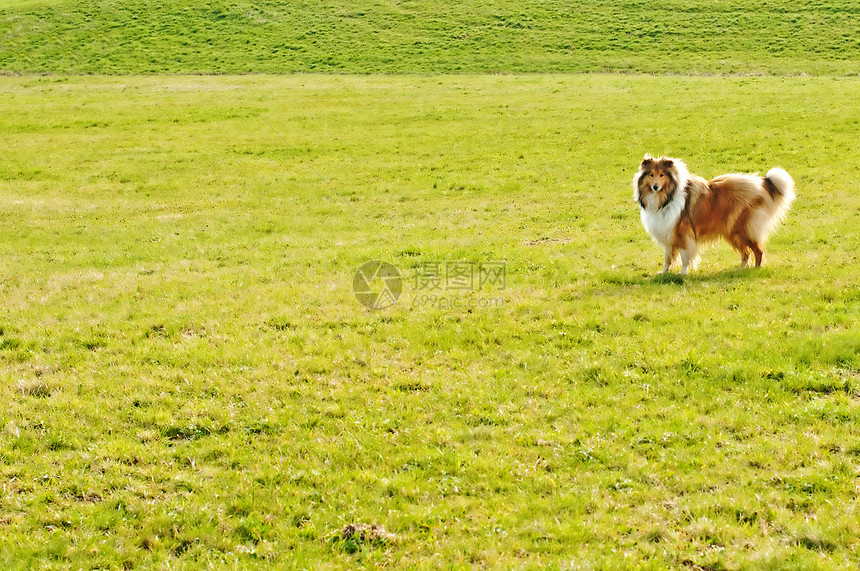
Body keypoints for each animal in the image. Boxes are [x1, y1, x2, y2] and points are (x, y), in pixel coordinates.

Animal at [632, 154, 792, 274]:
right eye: (651, 175)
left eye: (662, 175)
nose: (655, 187)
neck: (665, 198)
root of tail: (761, 183)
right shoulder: (668, 232)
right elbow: (668, 257)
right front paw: (663, 272)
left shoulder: (683, 234)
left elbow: (684, 257)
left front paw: (683, 274)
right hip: (733, 232)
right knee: (746, 253)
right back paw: (740, 269)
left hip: (744, 230)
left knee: (758, 251)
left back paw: (756, 269)